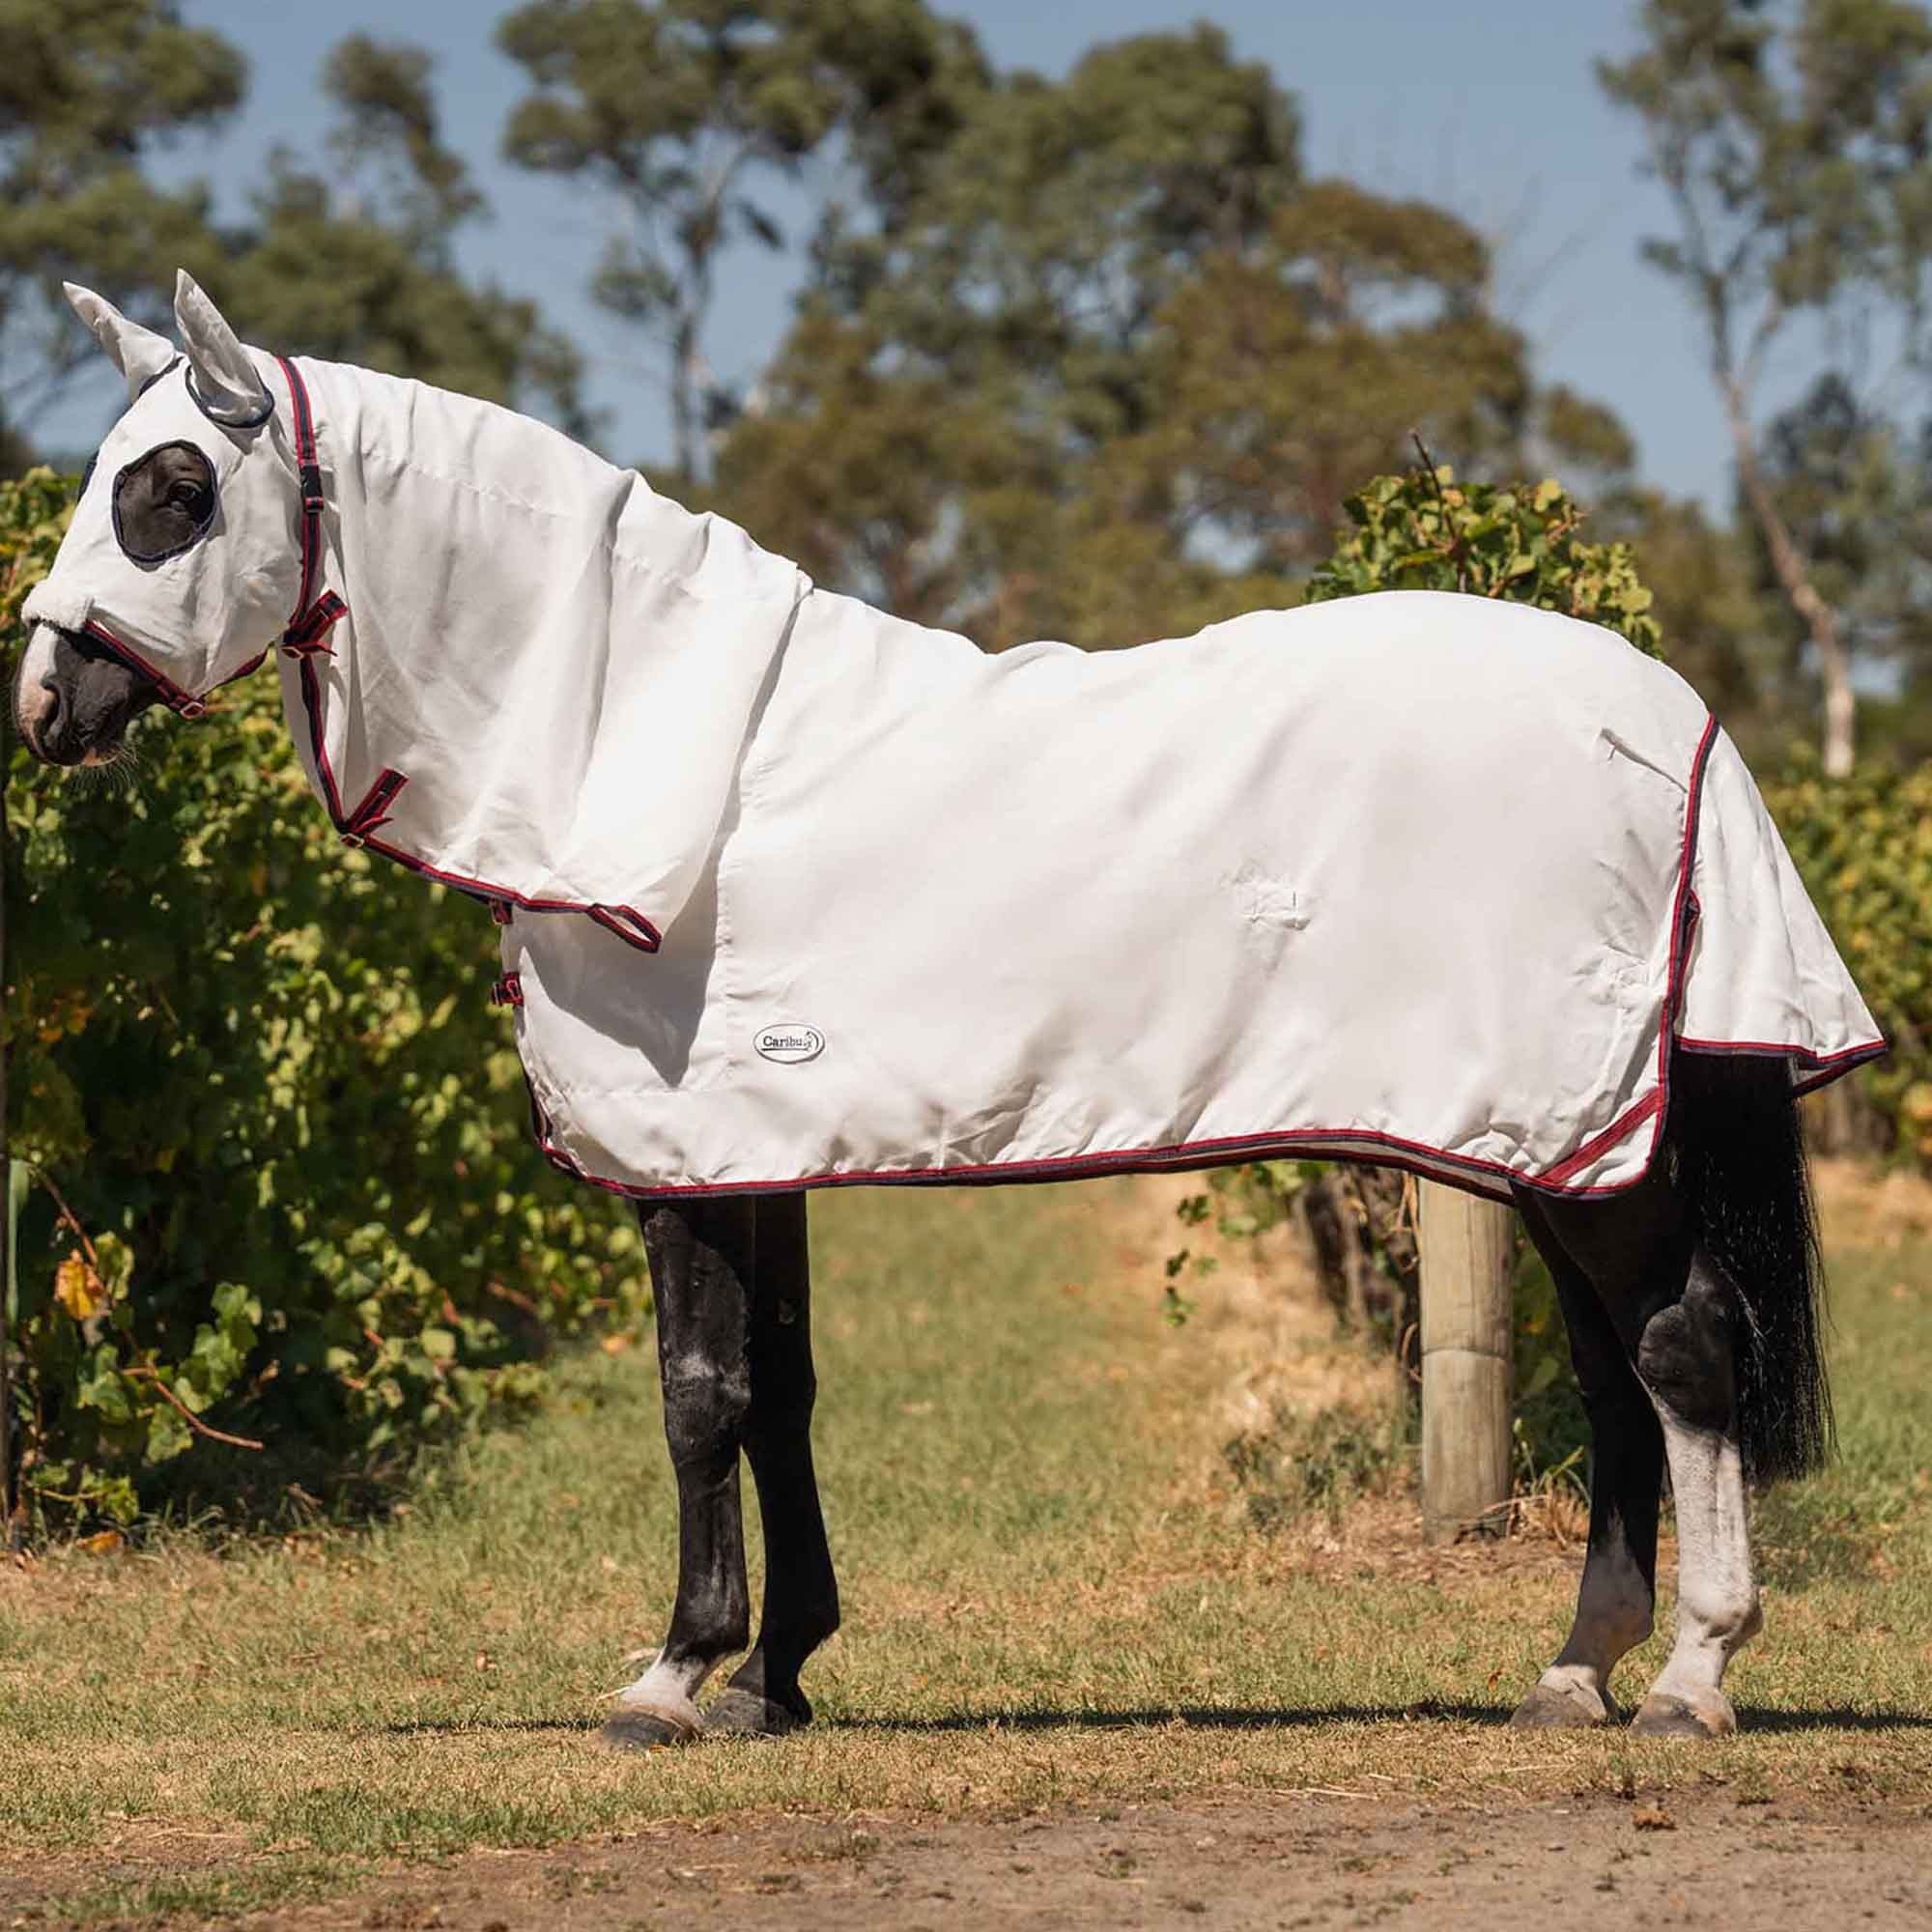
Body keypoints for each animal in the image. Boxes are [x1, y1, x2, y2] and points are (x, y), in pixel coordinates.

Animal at [14, 274, 1883, 1747]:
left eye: (176, 487)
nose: (46, 701)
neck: (632, 733)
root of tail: (1671, 711)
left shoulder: (681, 1155)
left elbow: (699, 1393)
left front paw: (673, 1679)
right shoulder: (755, 1149)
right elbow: (779, 1387)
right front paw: (776, 1677)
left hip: (1582, 1129)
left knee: (1682, 1352)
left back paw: (1693, 1677)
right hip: (1557, 1129)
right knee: (1618, 1373)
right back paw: (1575, 1672)